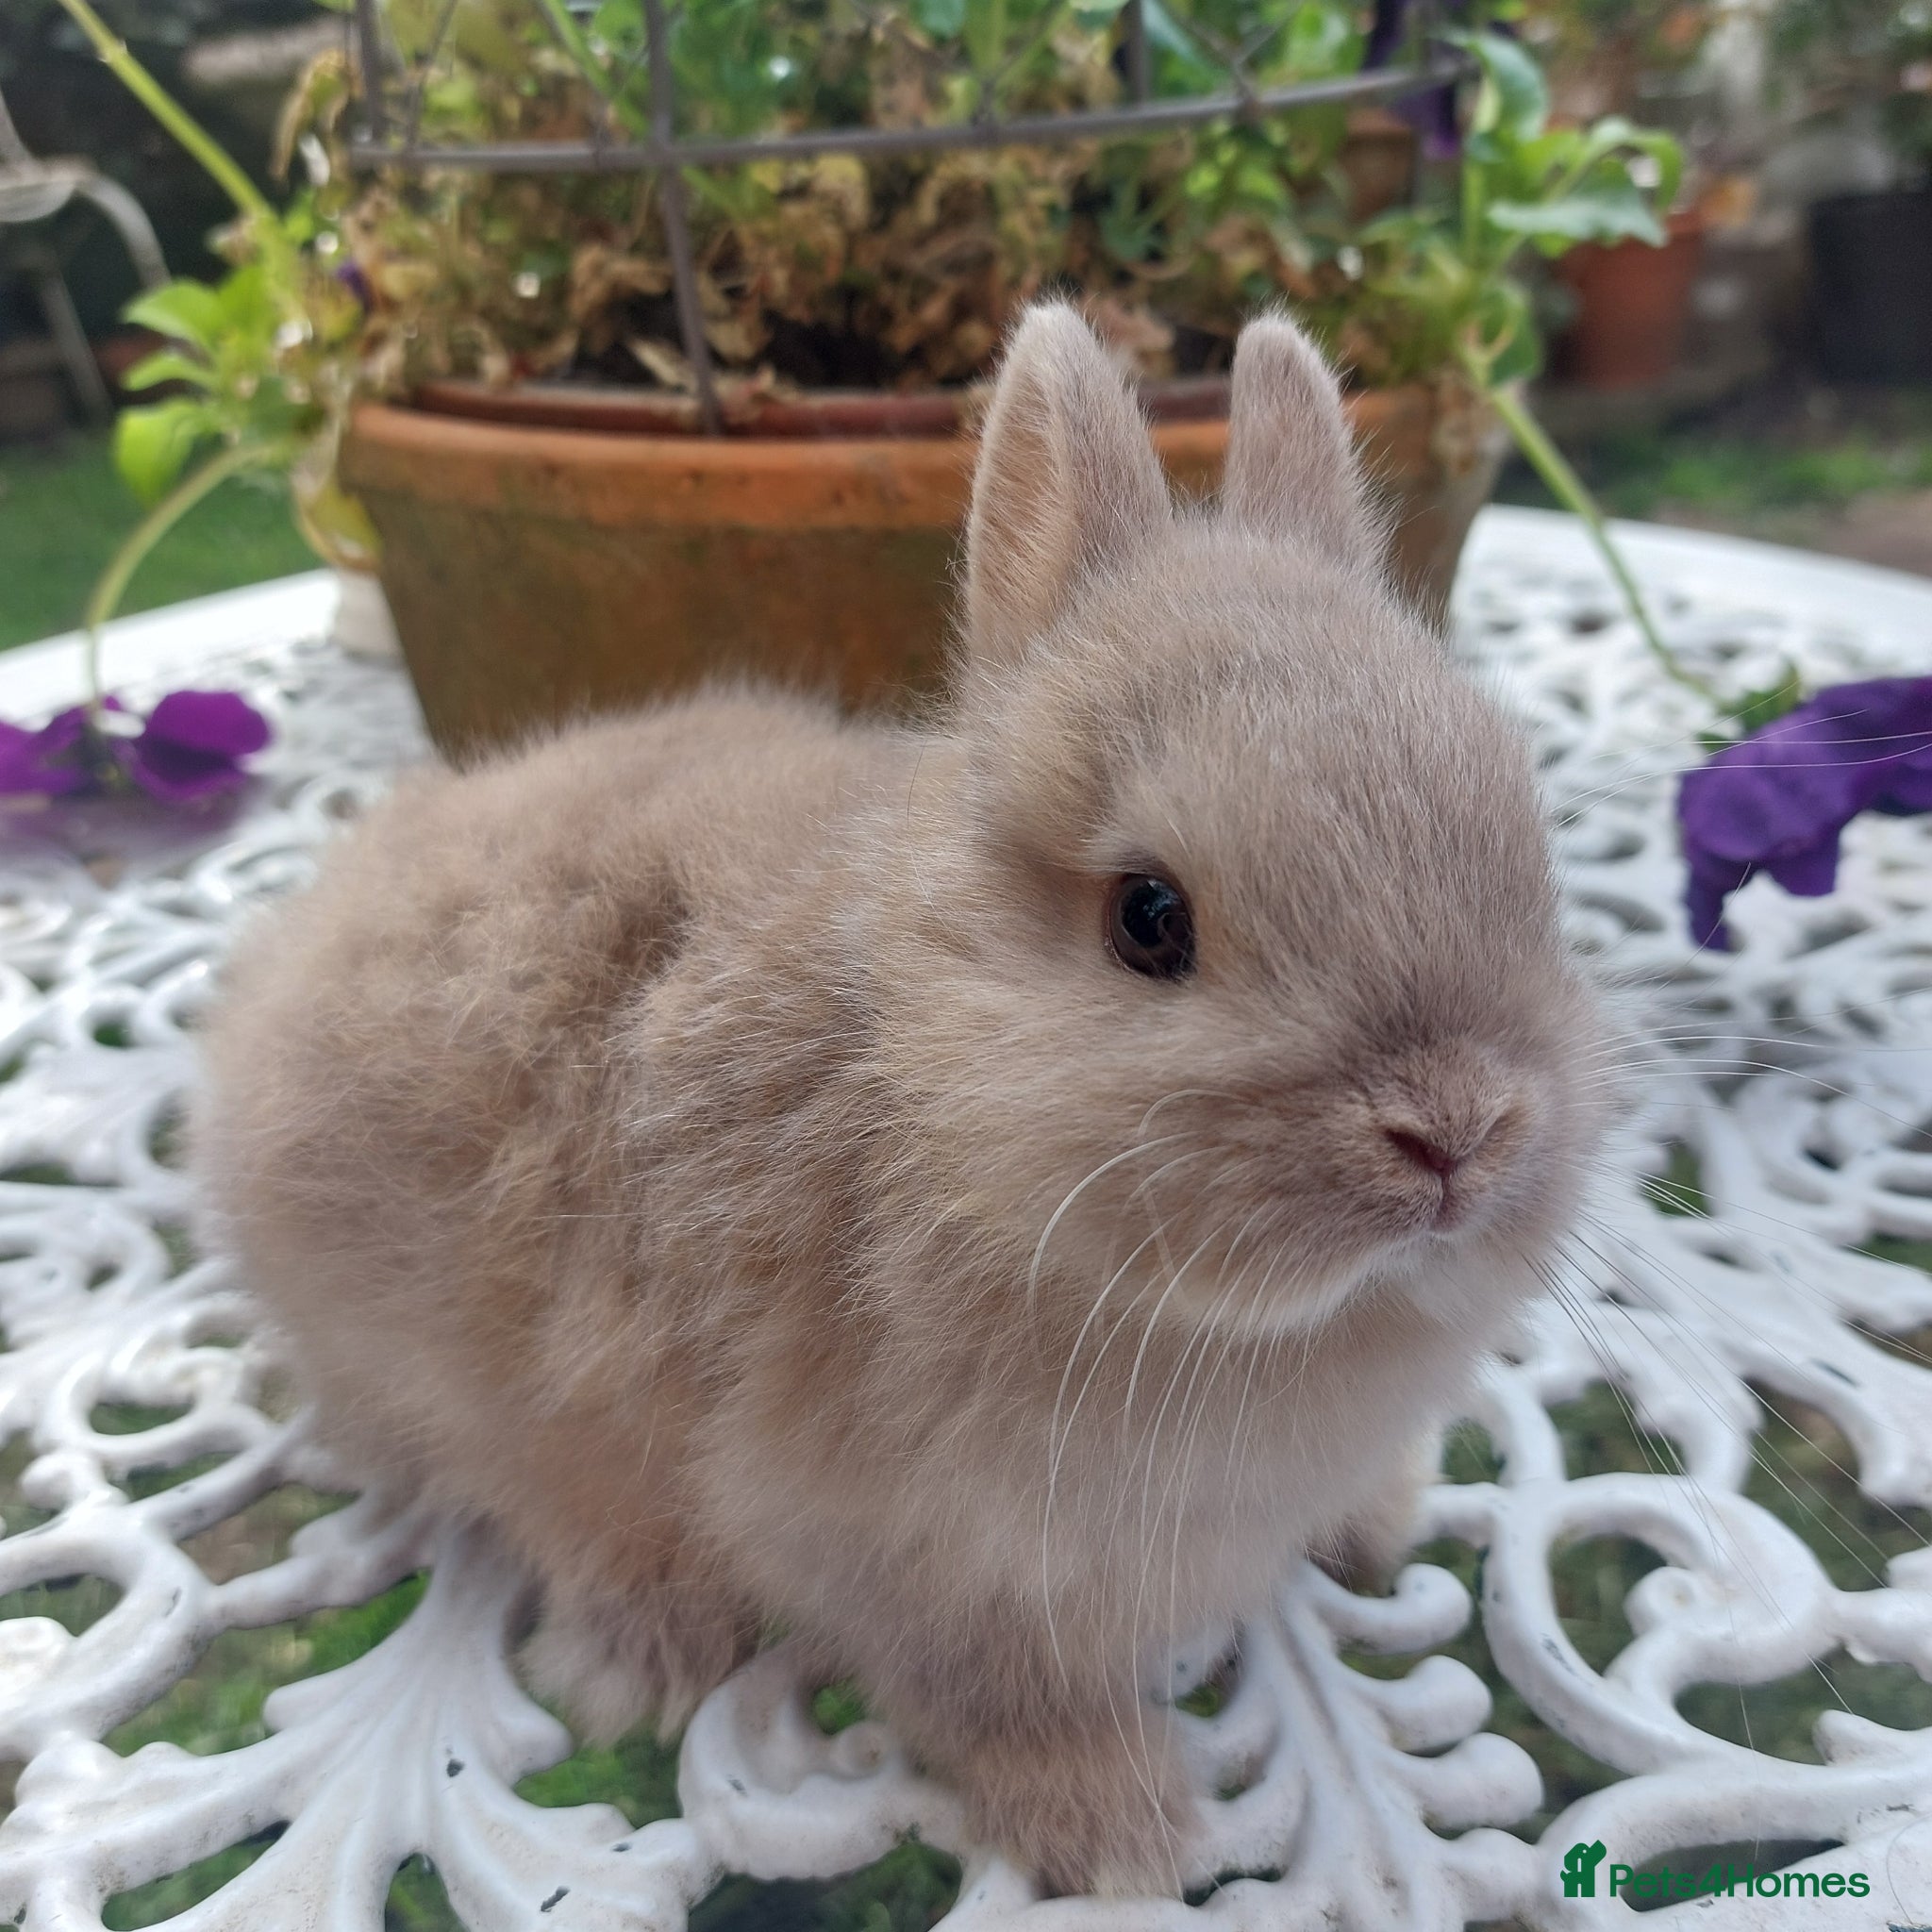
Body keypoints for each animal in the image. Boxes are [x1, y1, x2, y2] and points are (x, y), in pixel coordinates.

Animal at [192, 304, 1605, 1898]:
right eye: (1150, 919)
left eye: (1524, 847)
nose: (1458, 1134)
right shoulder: (902, 1550)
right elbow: (992, 1696)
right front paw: (1119, 1832)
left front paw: (1374, 1523)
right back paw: (649, 1649)